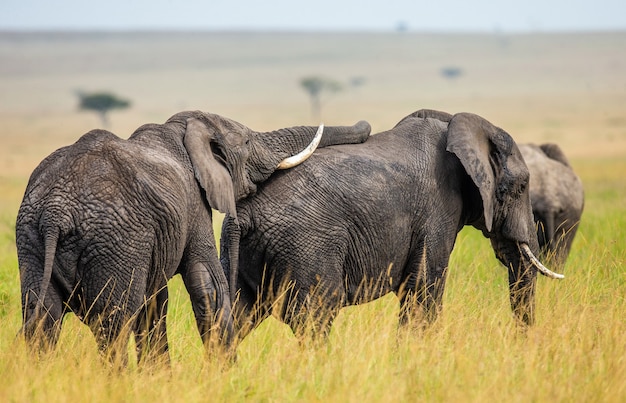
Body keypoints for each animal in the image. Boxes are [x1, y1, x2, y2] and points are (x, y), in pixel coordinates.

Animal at [15, 111, 370, 366]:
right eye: (247, 143)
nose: (365, 126)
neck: (184, 129)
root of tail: (56, 211)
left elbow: (155, 300)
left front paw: (159, 378)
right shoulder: (194, 205)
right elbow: (208, 284)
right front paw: (226, 378)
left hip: (31, 239)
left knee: (41, 320)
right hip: (113, 241)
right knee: (112, 324)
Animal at [222, 109, 564, 342]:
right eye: (522, 187)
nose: (522, 342)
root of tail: (243, 213)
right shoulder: (436, 210)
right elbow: (423, 290)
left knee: (235, 316)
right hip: (306, 246)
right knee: (316, 317)